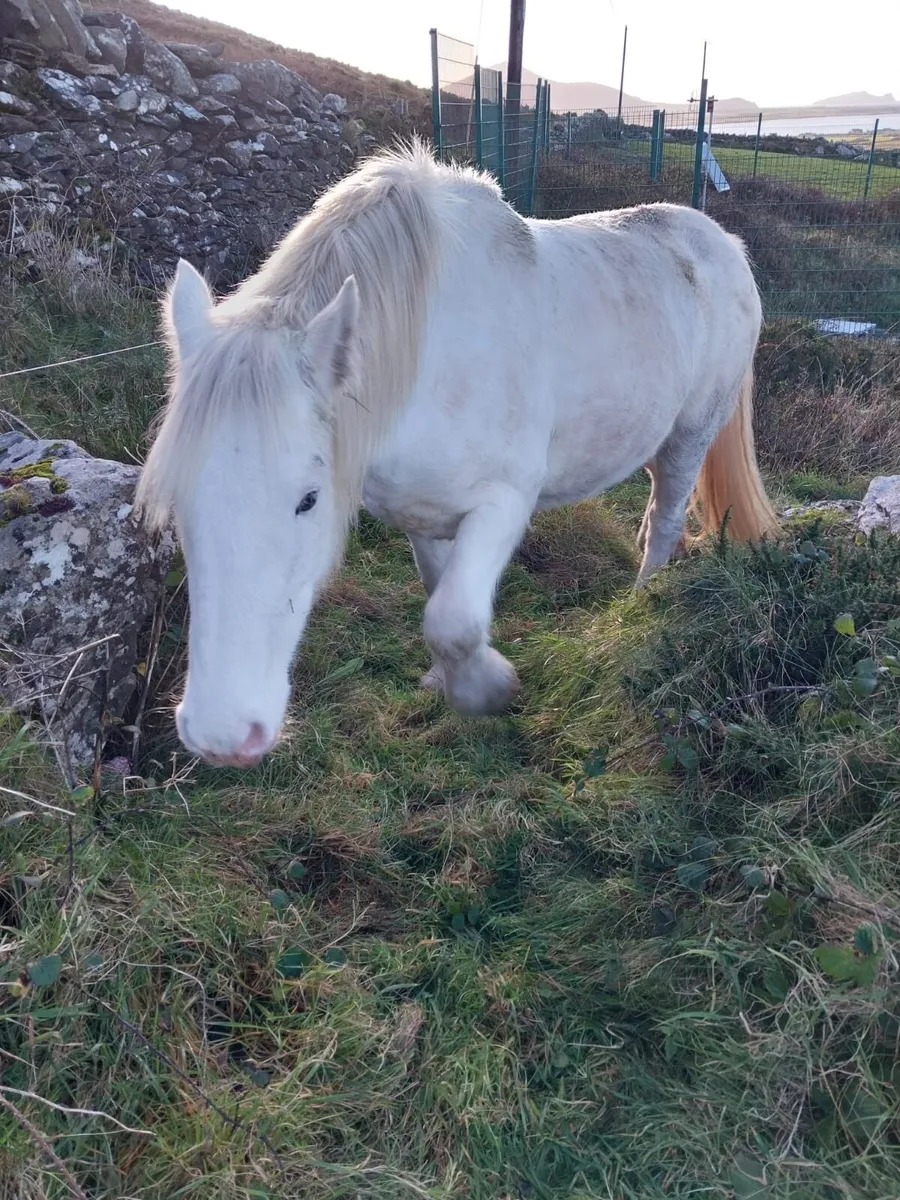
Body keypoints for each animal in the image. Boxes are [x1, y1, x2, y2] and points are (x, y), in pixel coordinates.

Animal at [135, 141, 778, 768]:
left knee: (668, 517)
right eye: (177, 499)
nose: (221, 736)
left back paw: (641, 602)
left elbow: (453, 621)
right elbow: (436, 590)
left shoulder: (504, 503)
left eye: (309, 500)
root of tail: (724, 242)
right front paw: (444, 681)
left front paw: (487, 688)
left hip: (691, 434)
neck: (429, 359)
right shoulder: (420, 512)